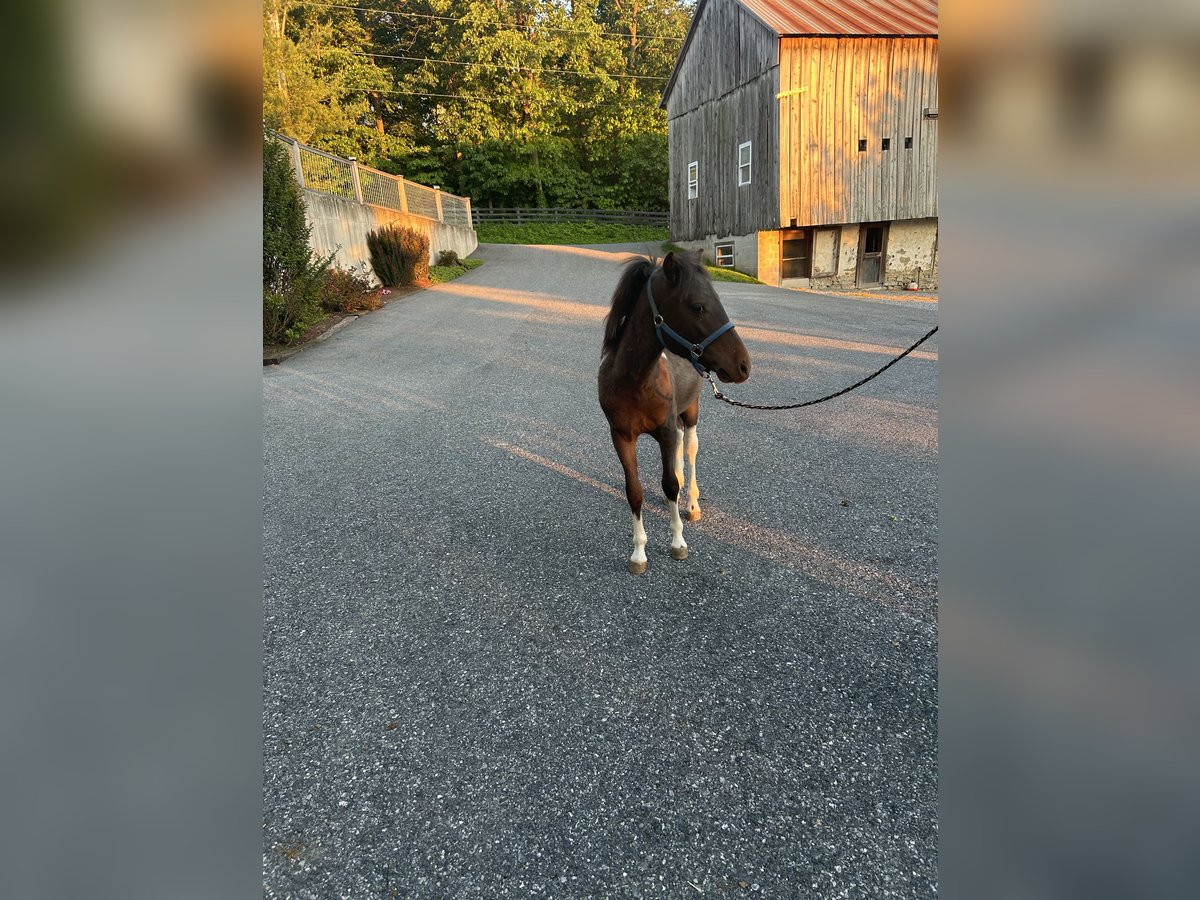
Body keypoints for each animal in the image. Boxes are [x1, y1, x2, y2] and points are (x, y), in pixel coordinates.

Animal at [598, 250, 751, 574]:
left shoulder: (665, 431)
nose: (743, 365)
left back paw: (691, 505)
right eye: (698, 306)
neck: (636, 381)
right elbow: (635, 491)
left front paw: (678, 543)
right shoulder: (621, 436)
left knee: (690, 449)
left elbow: (669, 484)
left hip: (690, 413)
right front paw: (638, 554)